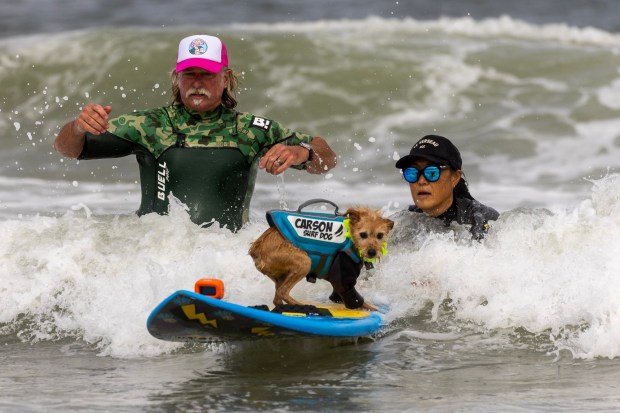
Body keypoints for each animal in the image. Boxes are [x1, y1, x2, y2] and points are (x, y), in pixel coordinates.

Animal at [248, 208, 390, 310]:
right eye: (363, 234)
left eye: (380, 235)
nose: (372, 252)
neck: (351, 237)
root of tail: (256, 249)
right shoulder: (342, 273)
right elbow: (353, 297)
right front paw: (373, 309)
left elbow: (337, 296)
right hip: (304, 262)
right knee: (282, 293)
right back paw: (303, 307)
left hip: (281, 276)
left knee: (277, 297)